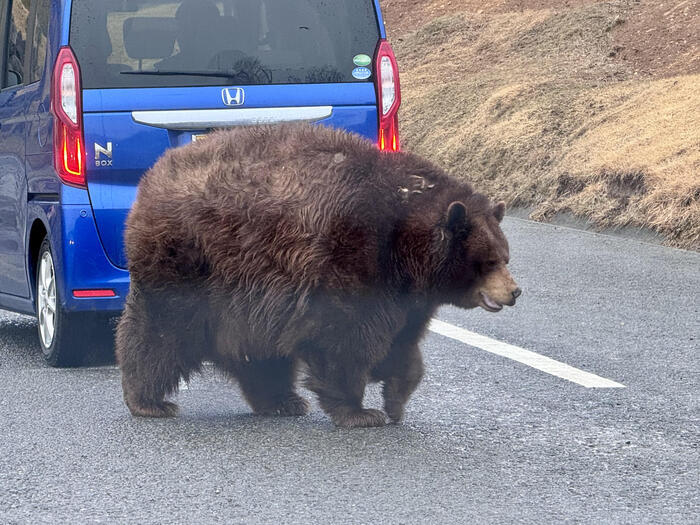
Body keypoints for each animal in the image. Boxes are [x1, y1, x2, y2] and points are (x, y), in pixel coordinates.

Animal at [116, 125, 520, 428]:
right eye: (487, 262)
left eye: (505, 256)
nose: (514, 291)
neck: (407, 246)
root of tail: (151, 178)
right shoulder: (352, 256)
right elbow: (343, 336)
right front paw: (360, 411)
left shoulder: (406, 297)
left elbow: (402, 344)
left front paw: (395, 400)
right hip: (190, 261)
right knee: (161, 330)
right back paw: (149, 400)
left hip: (245, 295)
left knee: (256, 350)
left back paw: (281, 400)